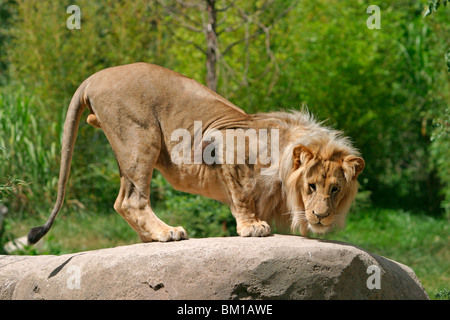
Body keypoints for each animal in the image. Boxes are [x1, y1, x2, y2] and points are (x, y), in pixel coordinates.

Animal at [27, 62, 366, 245]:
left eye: (335, 190)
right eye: (311, 186)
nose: (321, 216)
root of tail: (93, 77)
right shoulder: (227, 144)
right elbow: (243, 195)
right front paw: (252, 227)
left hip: (127, 147)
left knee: (122, 200)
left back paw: (149, 236)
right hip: (141, 137)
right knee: (132, 200)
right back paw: (167, 233)